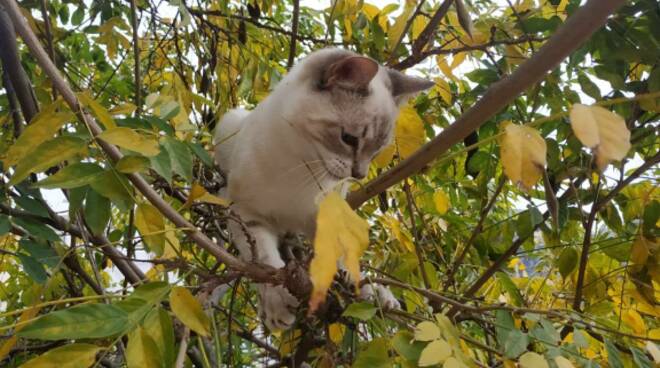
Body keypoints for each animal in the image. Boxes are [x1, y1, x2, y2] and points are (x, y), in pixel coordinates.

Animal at [214, 48, 436, 330]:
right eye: (349, 139)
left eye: (376, 151)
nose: (358, 175)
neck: (301, 165)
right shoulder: (245, 212)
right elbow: (266, 263)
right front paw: (276, 303)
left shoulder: (327, 217)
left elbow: (343, 257)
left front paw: (363, 288)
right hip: (228, 125)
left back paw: (375, 293)